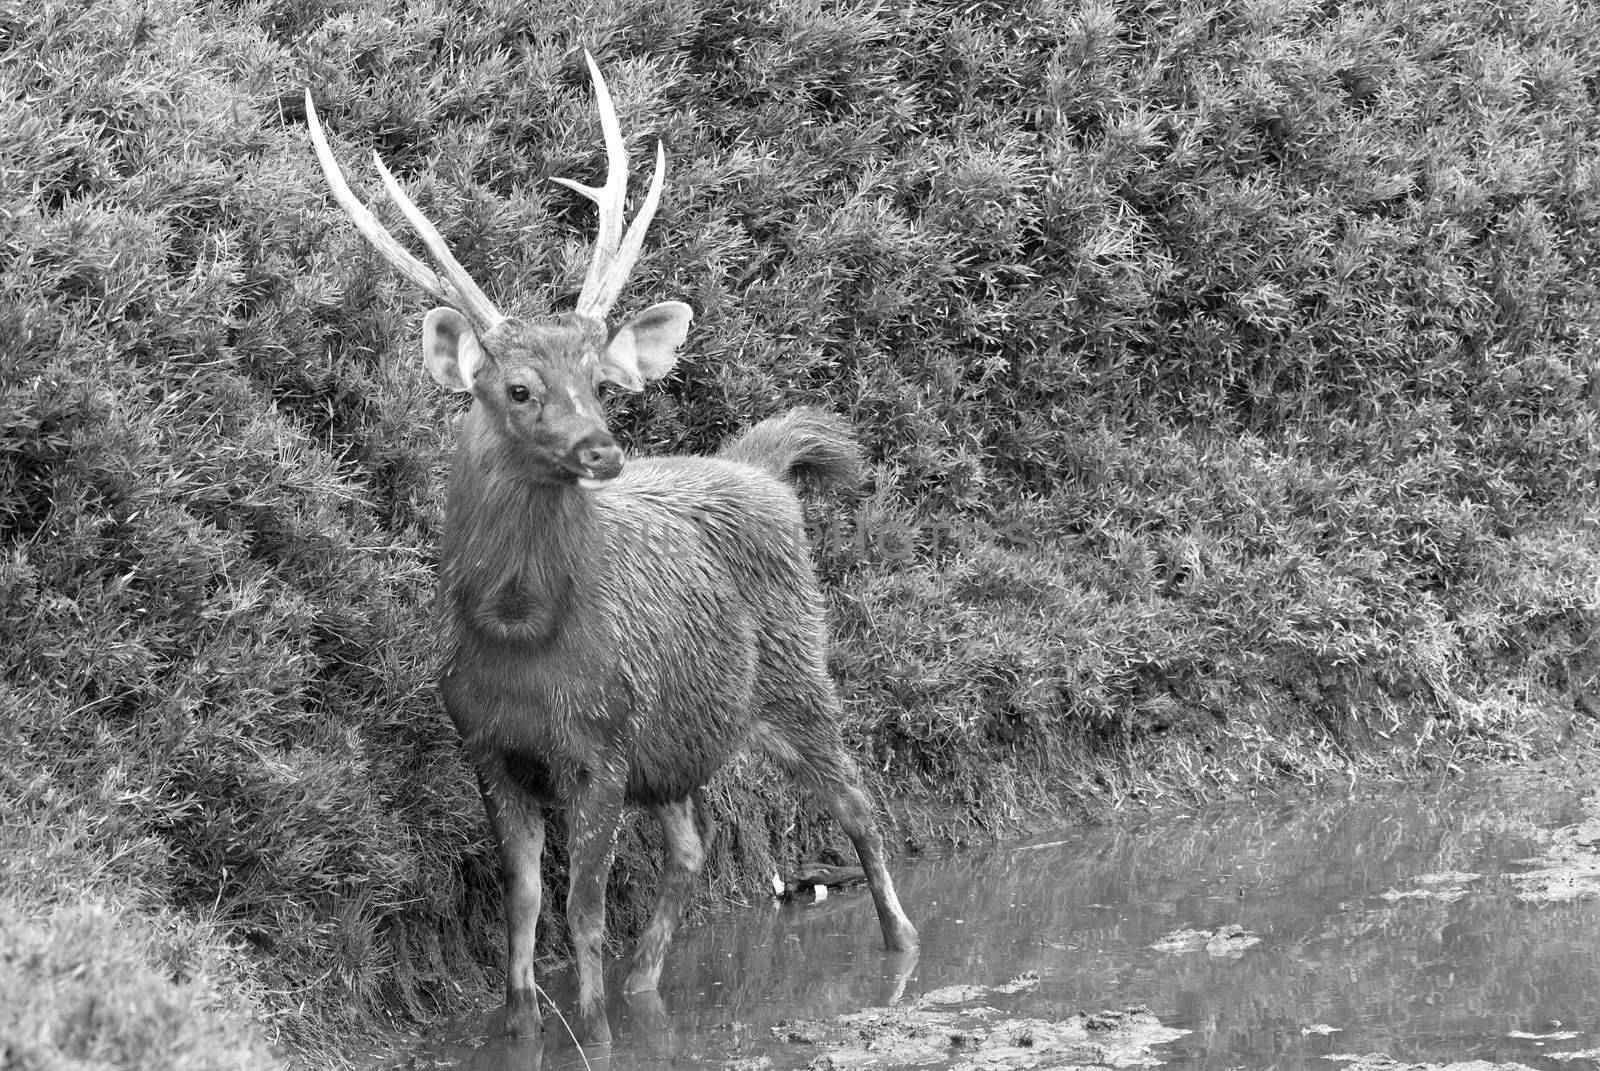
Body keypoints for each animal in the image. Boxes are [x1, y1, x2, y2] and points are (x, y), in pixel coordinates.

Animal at [305, 52, 921, 1043]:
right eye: (518, 387)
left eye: (599, 381)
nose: (602, 449)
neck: (518, 637)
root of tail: (764, 470)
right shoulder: (489, 746)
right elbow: (523, 906)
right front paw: (522, 1020)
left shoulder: (600, 744)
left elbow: (583, 909)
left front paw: (589, 1028)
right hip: (679, 741)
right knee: (693, 849)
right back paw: (646, 985)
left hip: (797, 672)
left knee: (858, 801)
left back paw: (901, 948)